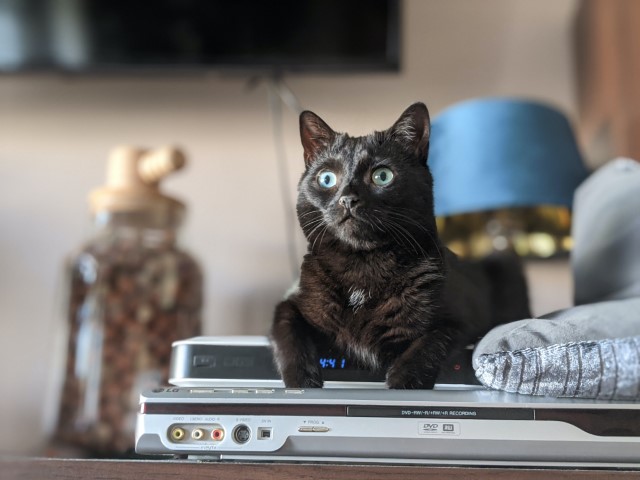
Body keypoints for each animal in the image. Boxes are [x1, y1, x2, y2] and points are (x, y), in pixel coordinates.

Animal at [270, 103, 528, 388]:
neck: (362, 265)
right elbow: (288, 328)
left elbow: (432, 339)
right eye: (326, 179)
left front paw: (404, 380)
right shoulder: (292, 302)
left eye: (382, 176)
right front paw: (302, 380)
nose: (348, 200)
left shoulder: (463, 319)